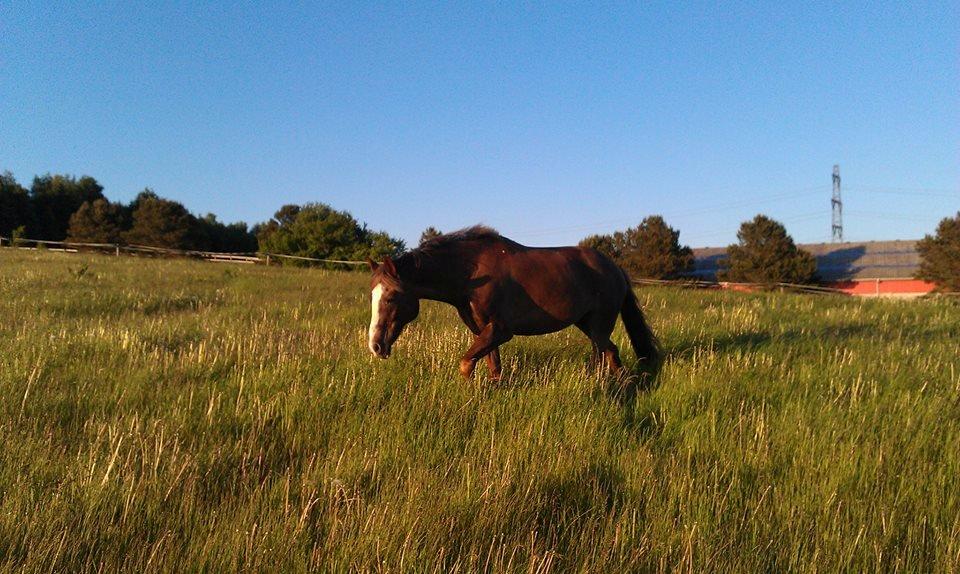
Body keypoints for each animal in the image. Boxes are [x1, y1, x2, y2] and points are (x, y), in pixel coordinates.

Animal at [368, 226, 660, 382]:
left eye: (391, 296)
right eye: (372, 296)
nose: (375, 346)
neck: (471, 275)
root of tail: (616, 268)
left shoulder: (500, 330)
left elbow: (466, 364)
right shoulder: (483, 332)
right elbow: (493, 369)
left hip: (599, 326)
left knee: (601, 356)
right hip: (587, 324)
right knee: (611, 353)